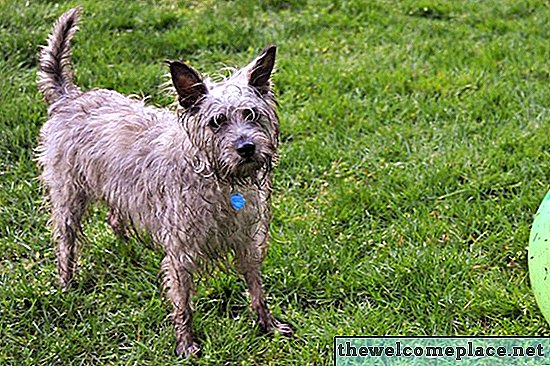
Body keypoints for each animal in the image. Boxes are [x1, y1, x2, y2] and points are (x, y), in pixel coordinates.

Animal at [36, 5, 294, 356]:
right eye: (217, 121)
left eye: (252, 115)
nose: (246, 148)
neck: (218, 179)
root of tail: (69, 97)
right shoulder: (182, 251)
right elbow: (183, 304)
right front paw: (186, 344)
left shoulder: (246, 241)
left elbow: (257, 289)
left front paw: (268, 326)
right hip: (68, 198)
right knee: (66, 242)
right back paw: (66, 283)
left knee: (114, 218)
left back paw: (131, 253)